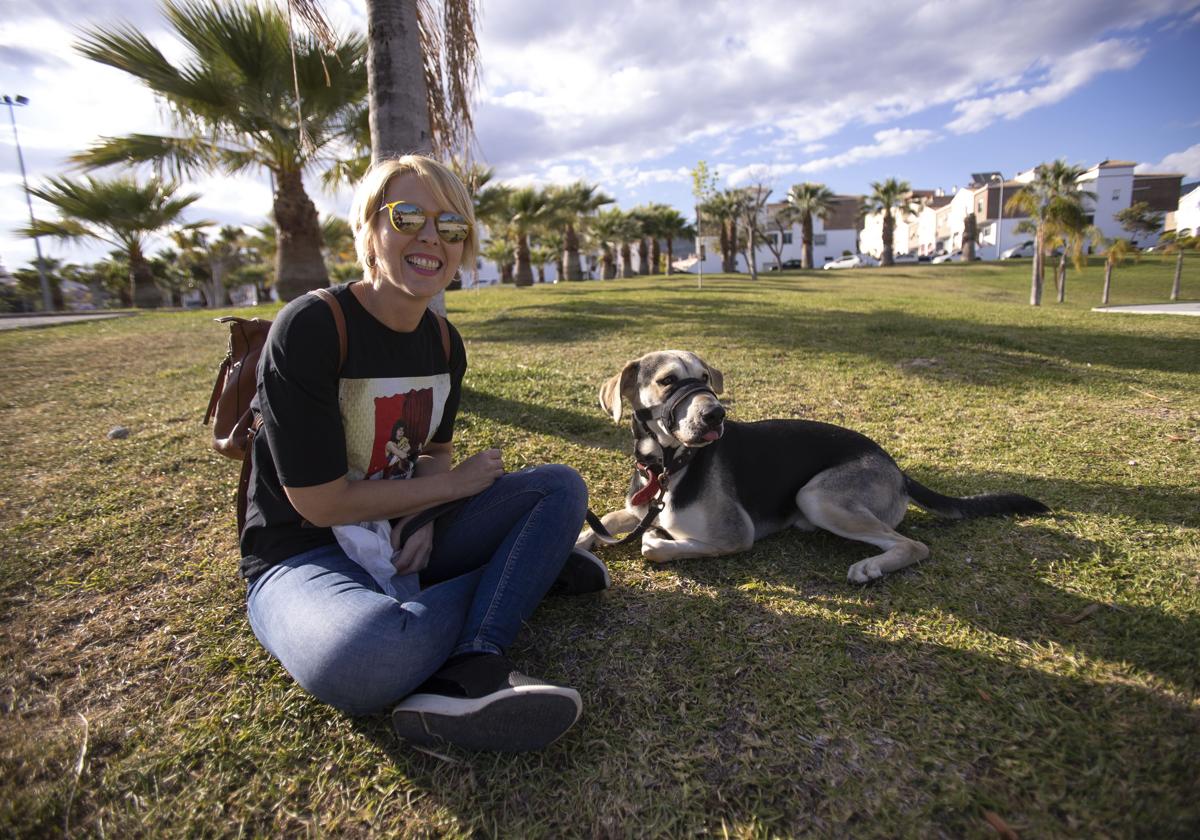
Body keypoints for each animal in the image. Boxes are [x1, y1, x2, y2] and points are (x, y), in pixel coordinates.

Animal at [576, 350, 1046, 580]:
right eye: (668, 381)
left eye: (706, 378)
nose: (716, 415)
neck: (669, 466)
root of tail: (895, 466)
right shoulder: (635, 509)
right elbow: (599, 525)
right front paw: (581, 540)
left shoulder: (737, 535)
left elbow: (653, 546)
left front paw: (657, 539)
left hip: (817, 495)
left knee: (914, 545)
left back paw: (873, 566)